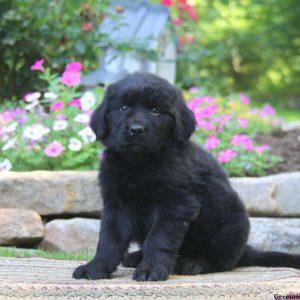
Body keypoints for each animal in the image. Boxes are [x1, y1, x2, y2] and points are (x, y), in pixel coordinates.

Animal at [73, 72, 300, 282]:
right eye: (123, 108)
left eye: (155, 110)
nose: (136, 130)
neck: (140, 162)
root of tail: (245, 249)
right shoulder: (116, 203)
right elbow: (109, 238)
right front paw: (95, 267)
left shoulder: (175, 203)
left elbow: (158, 239)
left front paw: (151, 269)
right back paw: (136, 257)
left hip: (230, 225)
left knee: (223, 258)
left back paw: (193, 262)